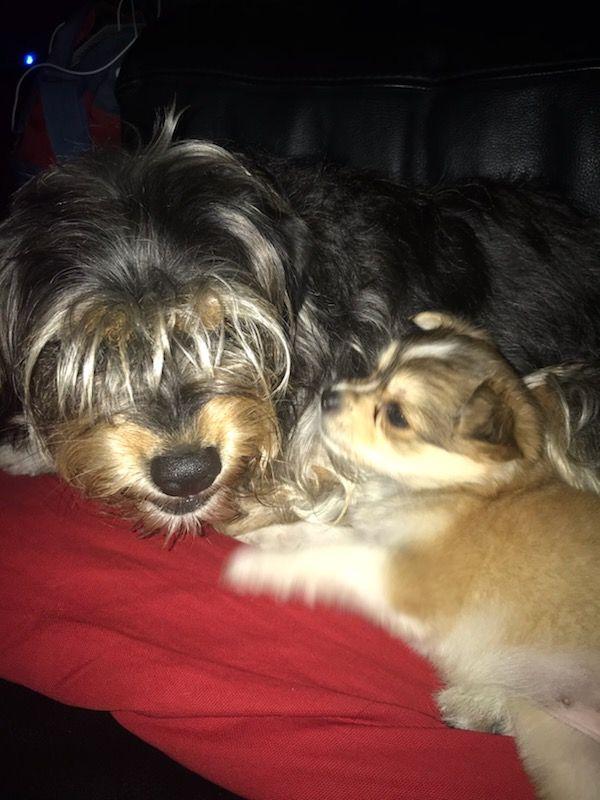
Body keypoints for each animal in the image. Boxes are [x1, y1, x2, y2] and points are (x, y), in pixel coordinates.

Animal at [225, 312, 600, 800]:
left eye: (396, 416)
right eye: (375, 368)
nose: (327, 394)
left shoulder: (406, 575)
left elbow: (330, 557)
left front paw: (255, 564)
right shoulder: (368, 533)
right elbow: (316, 534)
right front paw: (265, 535)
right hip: (561, 748)